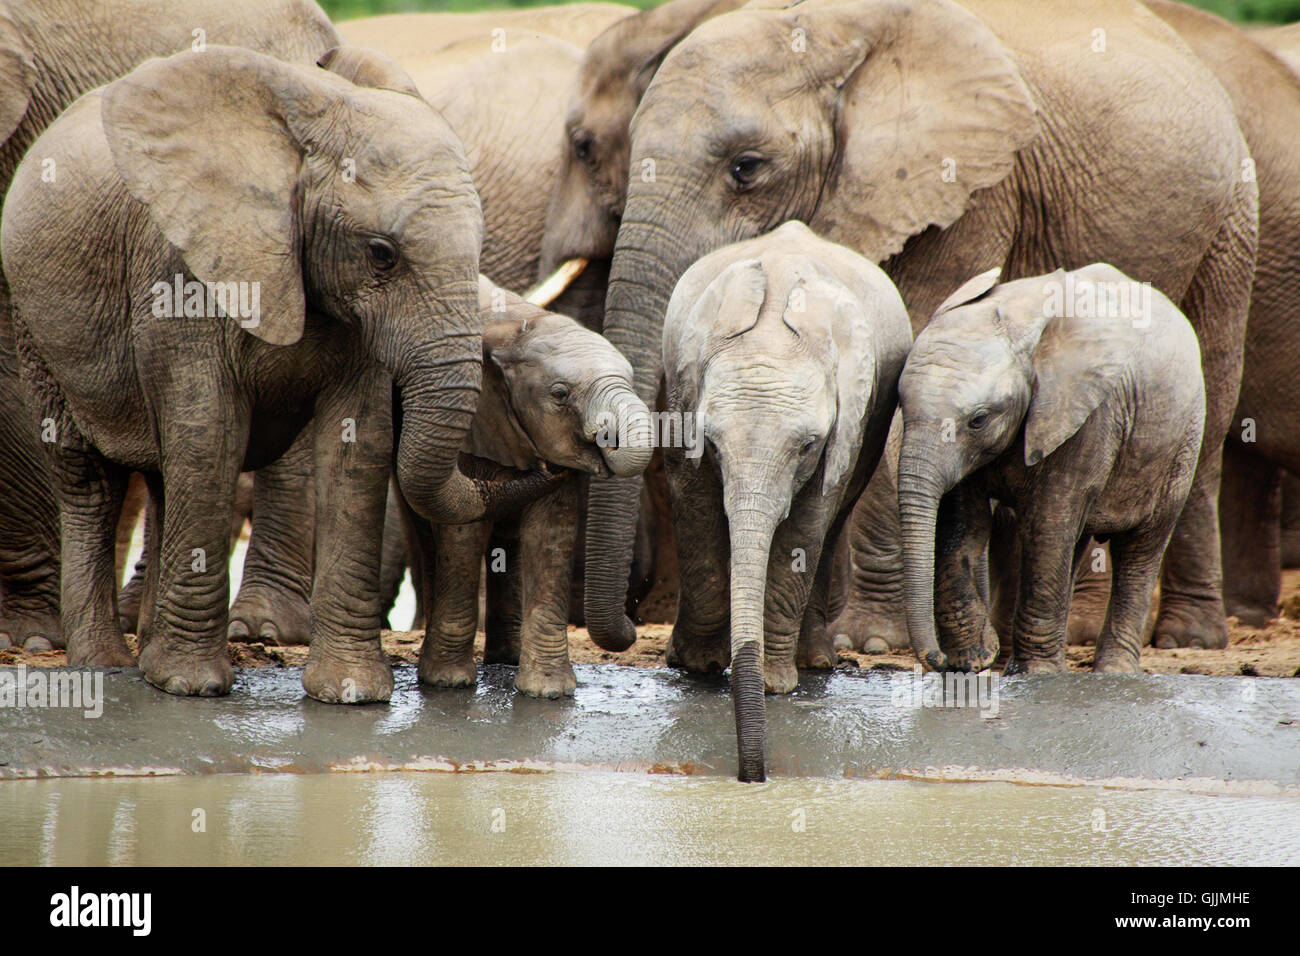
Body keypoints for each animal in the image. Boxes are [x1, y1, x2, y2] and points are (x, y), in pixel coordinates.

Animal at [405, 274, 650, 697]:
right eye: (559, 394)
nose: (633, 631)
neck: (520, 328)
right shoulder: (472, 424)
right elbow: (463, 534)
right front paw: (447, 683)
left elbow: (550, 533)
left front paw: (549, 692)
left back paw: (507, 658)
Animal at [665, 221, 909, 780]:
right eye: (712, 444)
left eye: (806, 447)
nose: (752, 776)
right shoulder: (683, 396)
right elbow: (696, 506)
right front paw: (700, 666)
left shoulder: (847, 424)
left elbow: (805, 527)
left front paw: (775, 684)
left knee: (833, 521)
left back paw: (815, 662)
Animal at [894, 265, 1206, 676]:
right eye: (900, 403)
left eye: (978, 420)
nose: (937, 660)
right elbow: (964, 521)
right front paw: (974, 657)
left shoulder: (1089, 416)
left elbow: (1048, 523)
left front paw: (1035, 674)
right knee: (1076, 543)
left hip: (1183, 440)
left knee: (1141, 547)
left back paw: (1113, 672)